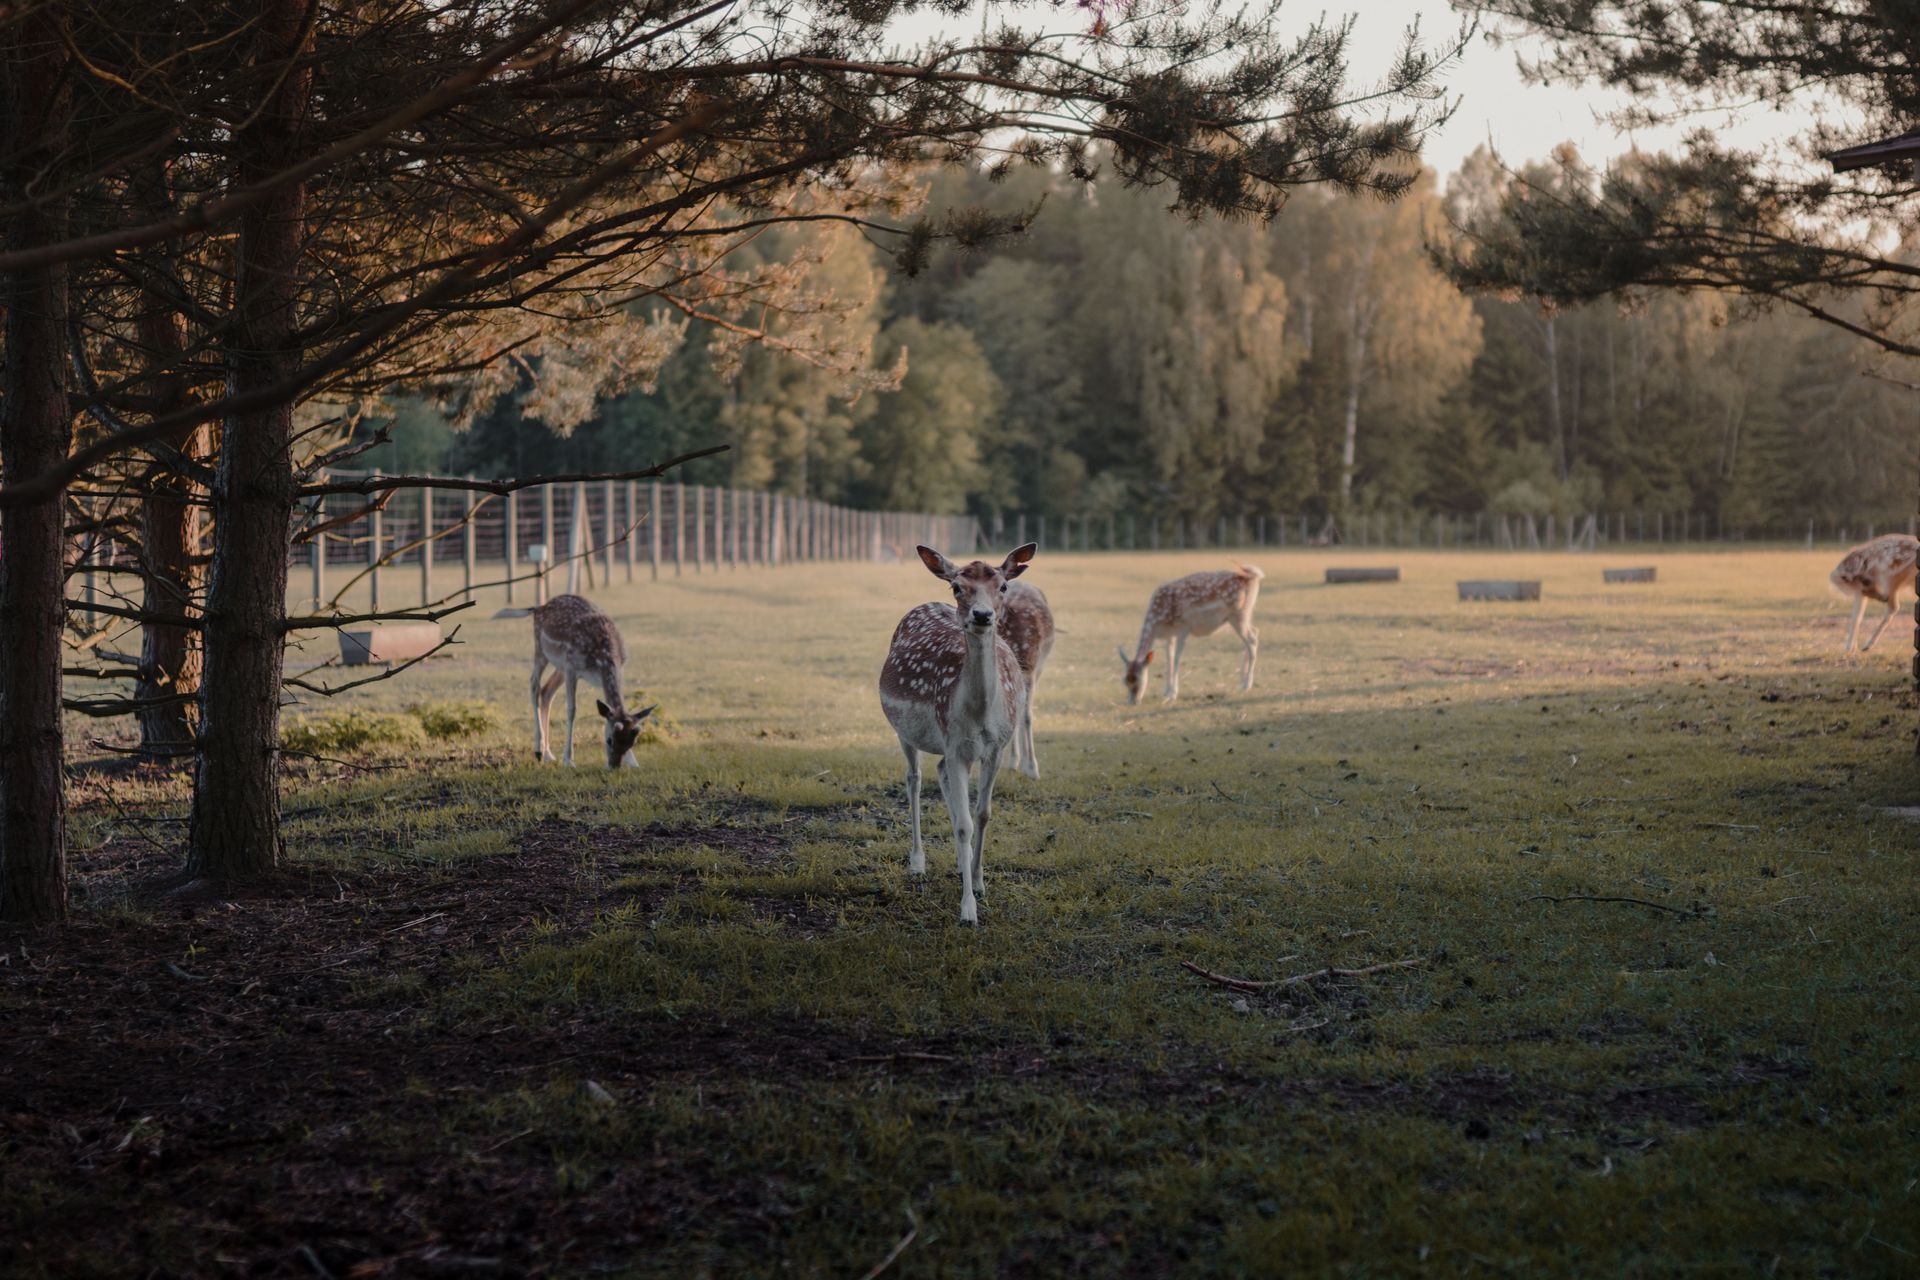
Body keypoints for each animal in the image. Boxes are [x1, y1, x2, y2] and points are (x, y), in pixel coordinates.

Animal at [492, 594, 655, 767]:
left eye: (632, 743)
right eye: (609, 740)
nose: (614, 766)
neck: (602, 660)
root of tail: (538, 608)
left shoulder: (617, 668)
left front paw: (633, 762)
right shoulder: (572, 668)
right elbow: (572, 710)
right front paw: (569, 760)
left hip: (560, 665)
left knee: (547, 690)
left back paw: (548, 754)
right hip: (541, 650)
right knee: (534, 684)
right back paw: (538, 751)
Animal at [880, 543, 1036, 925]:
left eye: (1003, 586)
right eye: (956, 587)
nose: (982, 615)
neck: (979, 715)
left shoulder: (995, 747)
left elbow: (982, 814)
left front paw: (978, 882)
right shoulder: (954, 746)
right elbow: (965, 823)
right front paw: (968, 910)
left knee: (938, 773)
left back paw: (958, 864)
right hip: (905, 730)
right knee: (914, 777)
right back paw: (918, 861)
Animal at [1118, 563, 1263, 704]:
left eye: (1137, 679)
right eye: (1125, 680)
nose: (1132, 702)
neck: (1158, 621)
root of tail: (1255, 576)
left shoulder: (1184, 628)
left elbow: (1177, 658)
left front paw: (1173, 694)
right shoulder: (1169, 635)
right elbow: (1169, 658)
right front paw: (1166, 692)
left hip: (1238, 614)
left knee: (1251, 640)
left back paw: (1246, 685)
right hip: (1245, 614)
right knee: (1255, 631)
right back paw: (1242, 681)